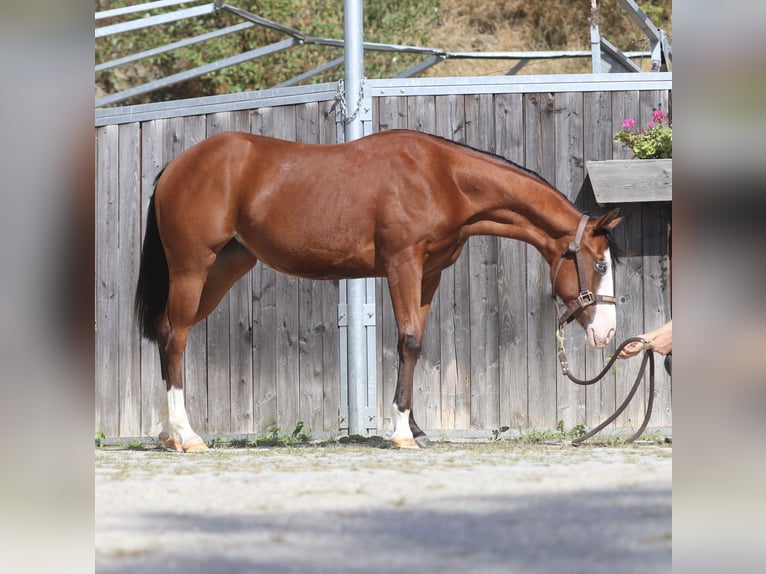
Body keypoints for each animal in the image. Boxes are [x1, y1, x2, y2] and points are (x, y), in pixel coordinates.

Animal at [135, 130, 620, 454]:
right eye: (599, 264)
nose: (608, 333)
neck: (441, 177)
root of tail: (174, 167)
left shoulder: (428, 275)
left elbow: (415, 345)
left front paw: (416, 428)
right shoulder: (402, 265)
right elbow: (409, 340)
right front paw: (402, 433)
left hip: (224, 269)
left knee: (166, 333)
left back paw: (167, 435)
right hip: (193, 268)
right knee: (175, 339)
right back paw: (188, 436)